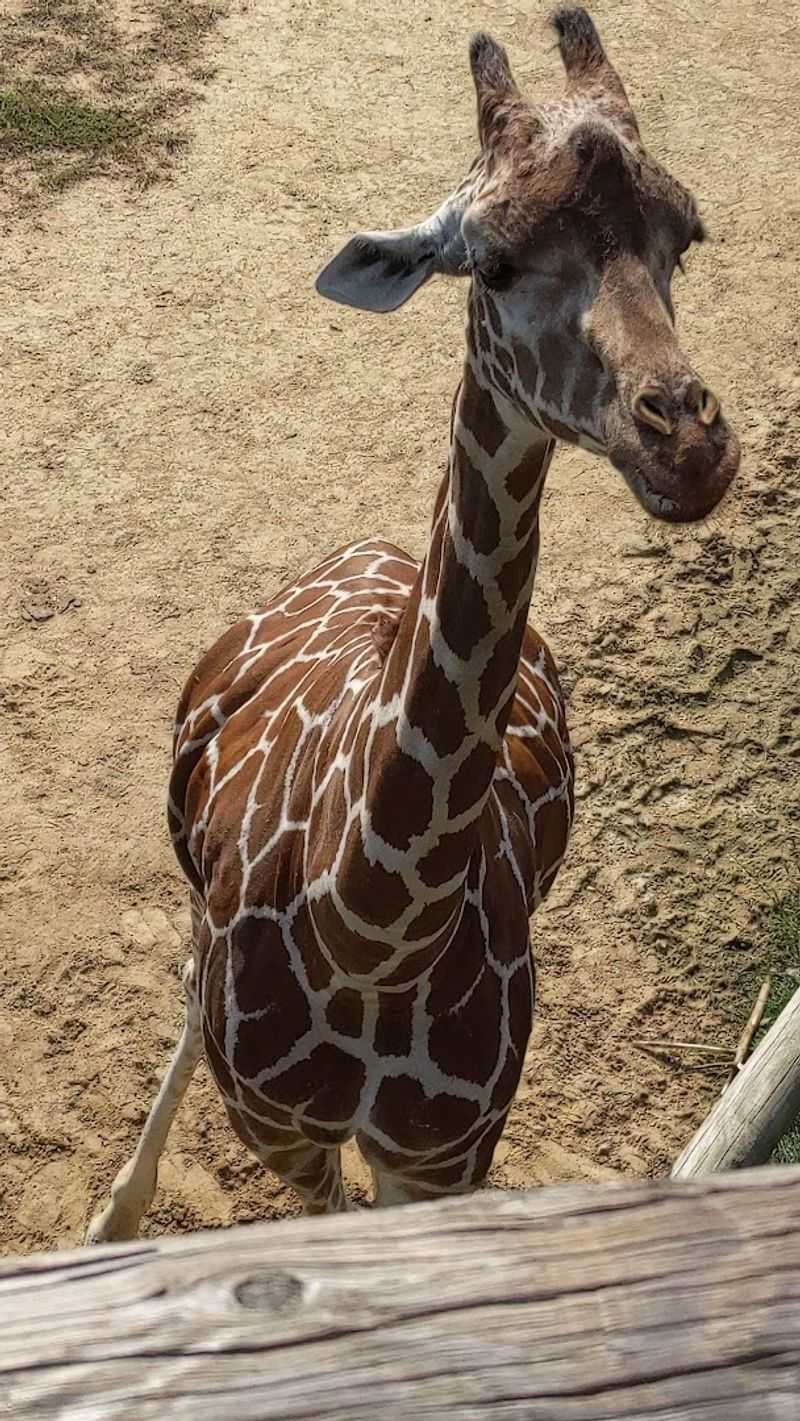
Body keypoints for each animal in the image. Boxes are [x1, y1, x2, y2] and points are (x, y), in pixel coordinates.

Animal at [87, 8, 739, 1240]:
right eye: (489, 259)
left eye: (686, 235)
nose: (686, 442)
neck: (373, 929)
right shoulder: (287, 1134)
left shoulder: (443, 1155)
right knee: (188, 980)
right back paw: (115, 1209)